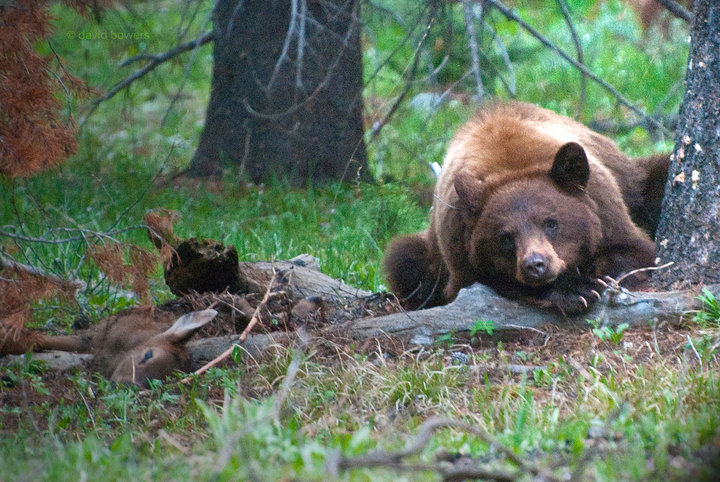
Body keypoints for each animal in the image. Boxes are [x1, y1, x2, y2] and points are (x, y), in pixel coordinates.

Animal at [386, 101, 668, 312]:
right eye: (505, 237)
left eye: (551, 222)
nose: (535, 265)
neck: (510, 165)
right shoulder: (458, 244)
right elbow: (485, 281)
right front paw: (574, 291)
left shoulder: (605, 205)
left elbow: (633, 250)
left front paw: (595, 276)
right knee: (404, 259)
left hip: (633, 181)